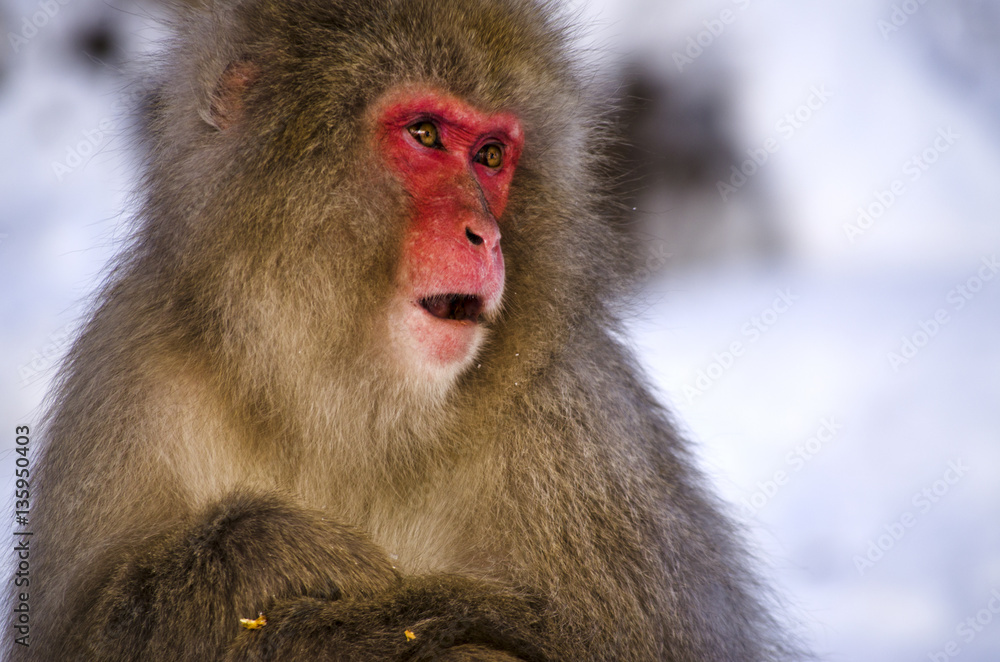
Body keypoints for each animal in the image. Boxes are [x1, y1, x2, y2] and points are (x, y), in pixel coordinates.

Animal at [7, 0, 802, 660]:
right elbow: (75, 635)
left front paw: (375, 620)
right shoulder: (132, 374)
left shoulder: (576, 426)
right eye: (425, 134)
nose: (487, 235)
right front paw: (261, 556)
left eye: (491, 156)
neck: (345, 403)